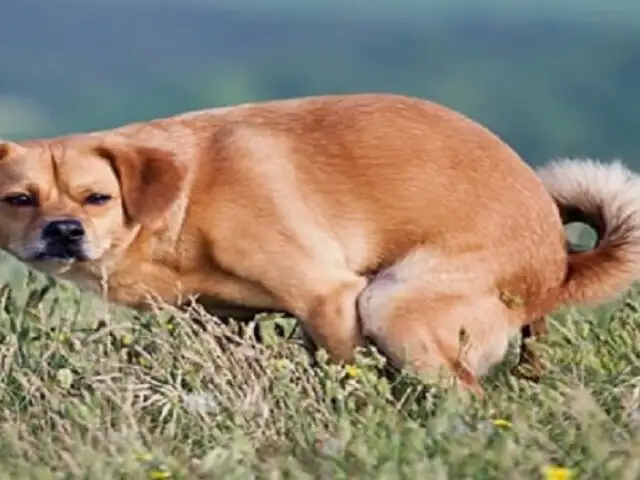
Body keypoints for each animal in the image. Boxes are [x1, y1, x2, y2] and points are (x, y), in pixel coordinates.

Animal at [1, 94, 640, 394]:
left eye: (97, 198)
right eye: (20, 199)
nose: (64, 230)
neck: (182, 198)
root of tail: (560, 267)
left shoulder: (328, 298)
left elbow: (346, 371)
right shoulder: (221, 318)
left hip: (391, 304)